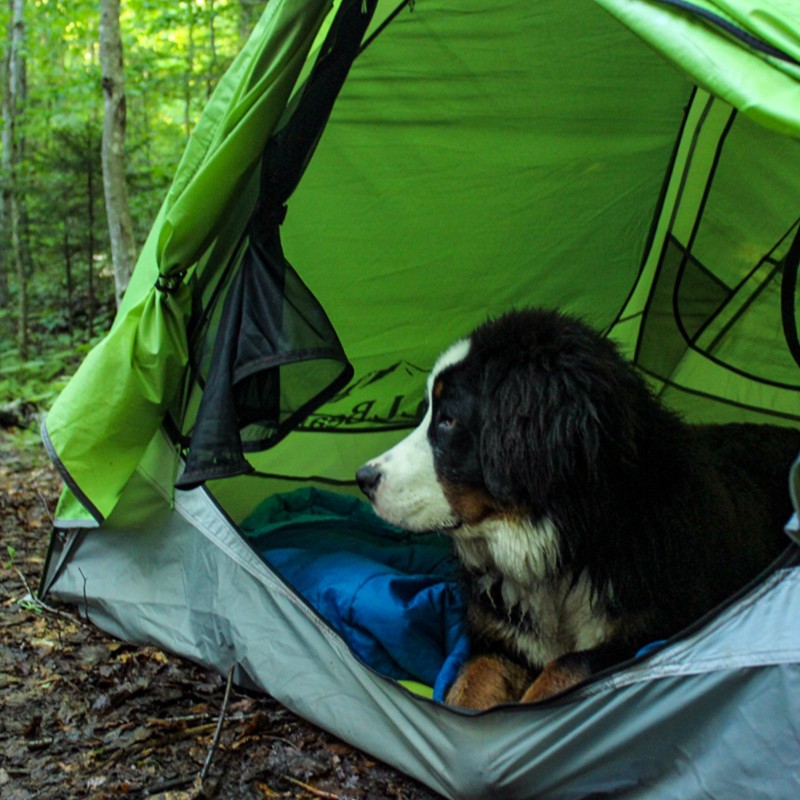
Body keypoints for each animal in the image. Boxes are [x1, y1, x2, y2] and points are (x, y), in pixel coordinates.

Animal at [356, 306, 800, 708]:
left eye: (448, 420)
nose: (364, 478)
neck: (562, 545)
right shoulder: (499, 641)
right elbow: (468, 686)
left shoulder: (654, 634)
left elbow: (566, 666)